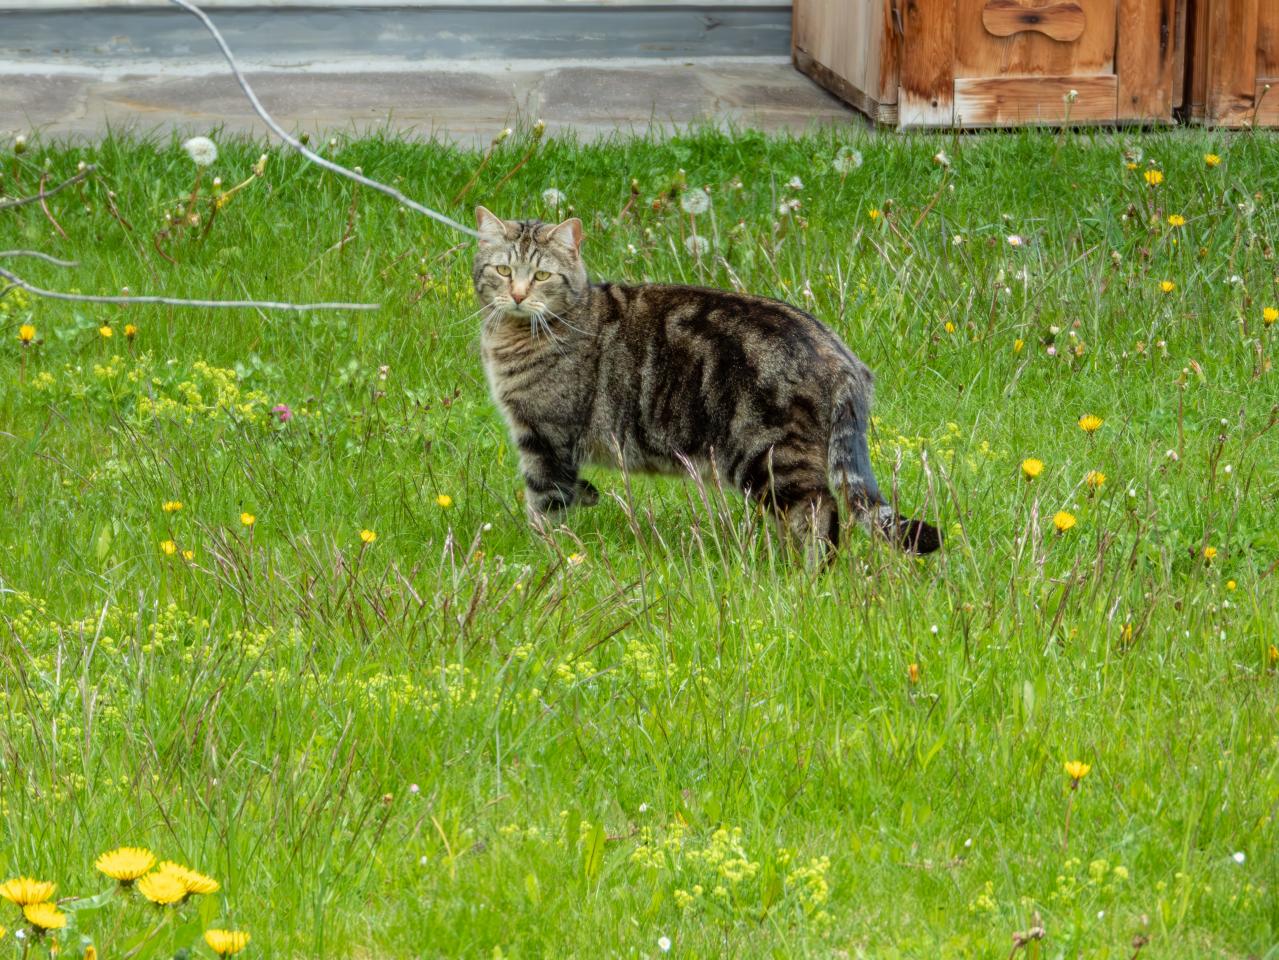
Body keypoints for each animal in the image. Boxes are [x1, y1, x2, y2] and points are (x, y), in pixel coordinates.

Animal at [471, 206, 941, 556]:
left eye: (542, 276)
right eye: (502, 270)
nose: (516, 295)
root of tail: (838, 350)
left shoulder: (544, 438)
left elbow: (543, 503)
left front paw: (542, 554)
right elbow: (569, 492)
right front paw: (584, 500)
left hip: (768, 455)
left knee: (819, 511)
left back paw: (810, 577)